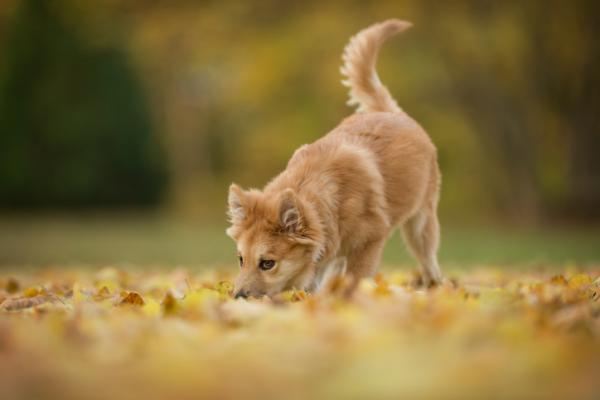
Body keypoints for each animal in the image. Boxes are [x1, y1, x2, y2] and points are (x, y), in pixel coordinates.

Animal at [227, 20, 442, 298]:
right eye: (241, 259)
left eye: (267, 263)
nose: (237, 297)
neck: (331, 198)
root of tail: (391, 112)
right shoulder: (322, 255)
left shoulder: (369, 242)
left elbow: (354, 281)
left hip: (421, 224)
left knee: (429, 262)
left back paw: (434, 287)